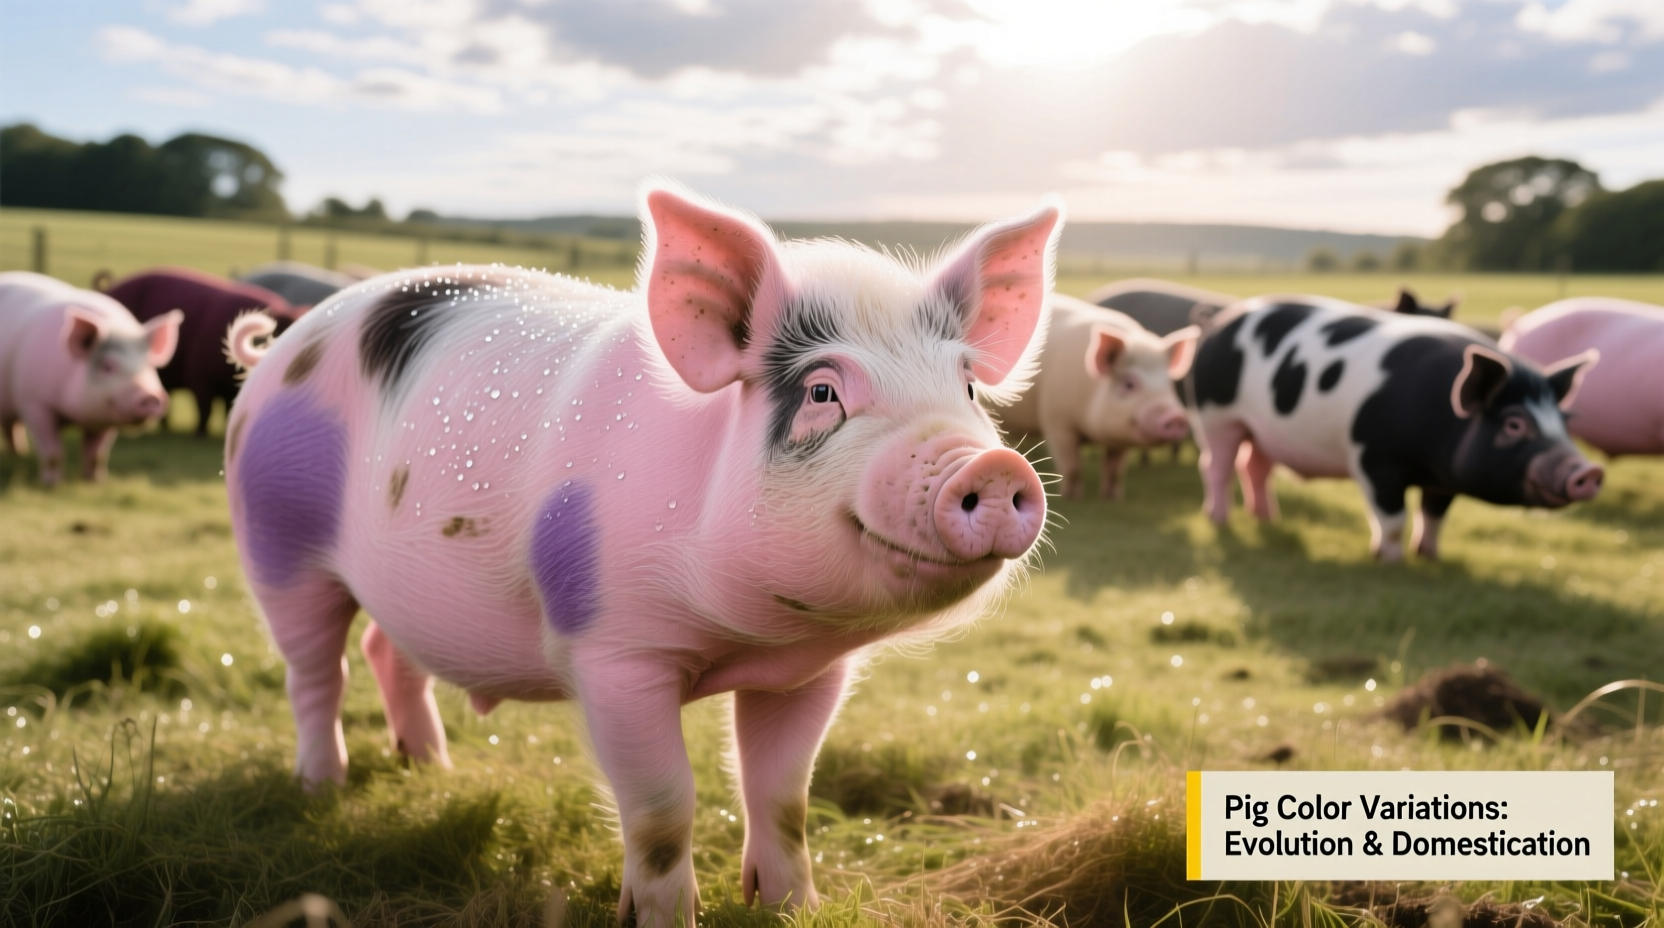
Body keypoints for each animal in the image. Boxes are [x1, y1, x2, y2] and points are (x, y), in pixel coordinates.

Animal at [0, 271, 182, 485]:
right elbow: (52, 452)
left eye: (149, 365)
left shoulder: (105, 417)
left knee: (11, 426)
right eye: (107, 366)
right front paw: (51, 484)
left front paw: (95, 482)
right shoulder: (34, 403)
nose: (150, 396)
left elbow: (96, 454)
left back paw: (17, 455)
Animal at [223, 183, 1056, 926]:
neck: (749, 639)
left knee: (387, 650)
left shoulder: (813, 672)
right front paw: (663, 919)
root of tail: (280, 349)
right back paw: (323, 789)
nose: (992, 467)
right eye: (823, 393)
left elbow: (784, 796)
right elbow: (663, 804)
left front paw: (793, 909)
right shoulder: (612, 653)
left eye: (968, 389)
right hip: (275, 537)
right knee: (315, 673)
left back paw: (431, 766)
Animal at [994, 293, 1197, 499]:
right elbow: (1072, 466)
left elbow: (1114, 470)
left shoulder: (1119, 438)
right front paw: (1072, 497)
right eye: (1129, 384)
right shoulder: (1057, 421)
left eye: (1169, 383)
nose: (1176, 417)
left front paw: (1113, 498)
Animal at [1183, 295, 1602, 561]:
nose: (1589, 471)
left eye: (1565, 421)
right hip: (1216, 416)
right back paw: (1219, 520)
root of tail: (1217, 322)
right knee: (1216, 466)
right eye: (1514, 424)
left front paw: (1430, 557)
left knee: (1255, 466)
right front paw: (1387, 559)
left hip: (1264, 430)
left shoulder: (1444, 479)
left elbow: (1435, 515)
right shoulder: (1373, 458)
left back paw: (1268, 519)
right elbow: (1394, 517)